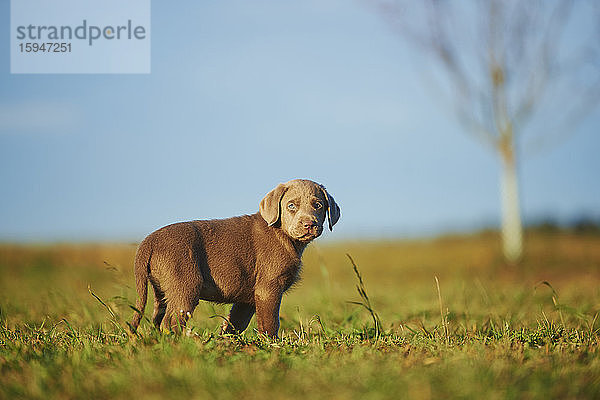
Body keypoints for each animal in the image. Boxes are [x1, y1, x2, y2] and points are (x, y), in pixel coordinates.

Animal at [129, 180, 340, 336]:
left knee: (157, 320)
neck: (283, 235)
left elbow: (235, 324)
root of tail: (148, 241)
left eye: (318, 205)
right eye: (291, 206)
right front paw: (271, 346)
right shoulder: (268, 289)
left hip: (161, 290)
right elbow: (270, 323)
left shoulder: (247, 298)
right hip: (185, 286)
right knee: (170, 322)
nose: (309, 224)